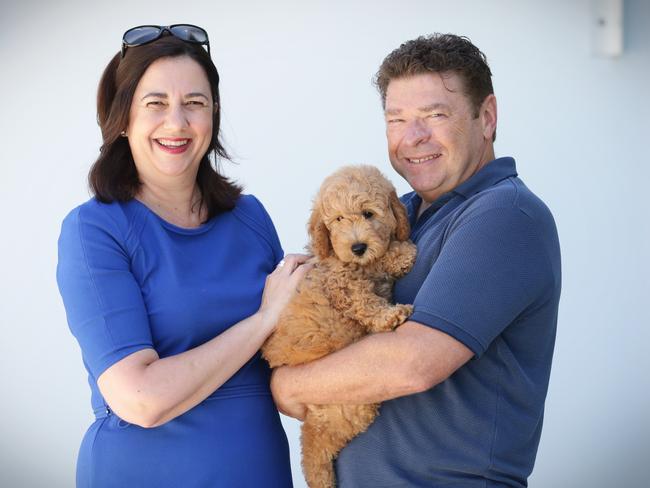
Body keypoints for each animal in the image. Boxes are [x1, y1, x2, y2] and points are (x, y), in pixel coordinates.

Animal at [262, 165, 416, 488]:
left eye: (368, 214)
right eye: (338, 220)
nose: (358, 247)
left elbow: (377, 260)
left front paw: (397, 253)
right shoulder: (342, 283)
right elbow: (365, 299)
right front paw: (391, 314)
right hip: (349, 405)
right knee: (316, 444)